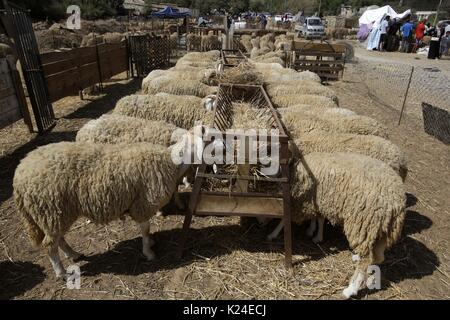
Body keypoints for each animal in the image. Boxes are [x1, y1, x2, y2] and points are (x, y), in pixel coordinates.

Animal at [13, 139, 199, 278]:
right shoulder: (142, 205)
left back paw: (73, 254)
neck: (170, 163)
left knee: (59, 239)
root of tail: (19, 174)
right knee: (50, 245)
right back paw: (62, 273)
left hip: (57, 214)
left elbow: (147, 230)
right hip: (50, 210)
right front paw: (149, 252)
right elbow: (145, 230)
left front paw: (151, 244)